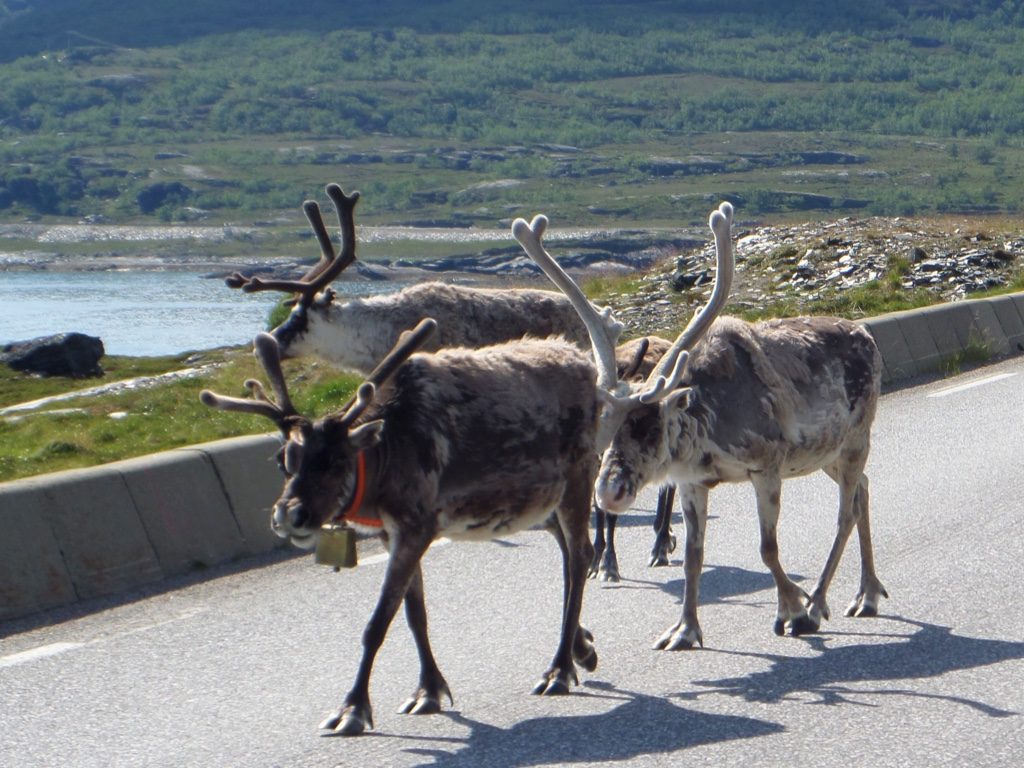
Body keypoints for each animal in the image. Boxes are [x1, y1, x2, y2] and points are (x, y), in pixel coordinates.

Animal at [200, 316, 605, 736]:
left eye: (337, 460)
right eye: (283, 460)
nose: (288, 515)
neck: (382, 458)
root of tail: (584, 362)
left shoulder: (415, 525)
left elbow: (378, 622)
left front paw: (353, 709)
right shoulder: (391, 532)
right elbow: (414, 615)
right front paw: (428, 690)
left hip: (577, 475)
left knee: (579, 557)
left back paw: (559, 669)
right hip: (541, 502)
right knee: (568, 555)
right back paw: (582, 649)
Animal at [513, 201, 887, 650]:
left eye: (649, 425)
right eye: (601, 435)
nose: (608, 492)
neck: (704, 430)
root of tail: (867, 334)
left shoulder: (766, 466)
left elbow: (767, 548)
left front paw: (793, 611)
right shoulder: (692, 481)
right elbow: (693, 557)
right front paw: (684, 630)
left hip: (857, 437)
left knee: (846, 512)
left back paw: (820, 604)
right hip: (826, 452)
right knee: (864, 489)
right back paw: (867, 593)